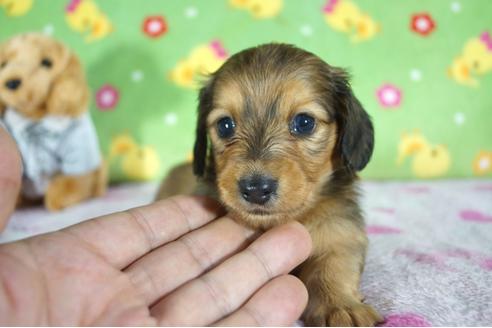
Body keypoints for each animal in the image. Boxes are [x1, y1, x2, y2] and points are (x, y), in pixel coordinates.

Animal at [158, 43, 380, 326]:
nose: (255, 189)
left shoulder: (340, 234)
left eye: (304, 122)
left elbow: (333, 268)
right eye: (225, 125)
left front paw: (340, 307)